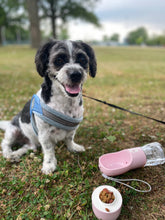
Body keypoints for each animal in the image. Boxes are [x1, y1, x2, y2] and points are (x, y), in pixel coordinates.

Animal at [0, 39, 96, 174]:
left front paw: (73, 147)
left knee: (28, 147)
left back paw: (16, 154)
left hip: (31, 144)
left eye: (82, 59)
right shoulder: (44, 133)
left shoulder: (72, 128)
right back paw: (9, 153)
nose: (76, 74)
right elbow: (49, 149)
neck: (65, 102)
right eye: (59, 60)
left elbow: (69, 138)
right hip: (13, 130)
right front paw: (49, 165)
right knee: (5, 143)